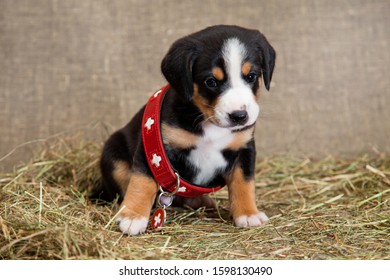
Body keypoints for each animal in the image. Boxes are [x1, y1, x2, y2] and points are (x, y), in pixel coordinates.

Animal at [93, 24, 276, 235]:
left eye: (251, 76)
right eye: (211, 81)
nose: (239, 116)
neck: (208, 121)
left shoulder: (244, 148)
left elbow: (244, 183)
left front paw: (248, 213)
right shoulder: (155, 148)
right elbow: (142, 182)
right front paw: (133, 216)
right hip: (113, 153)